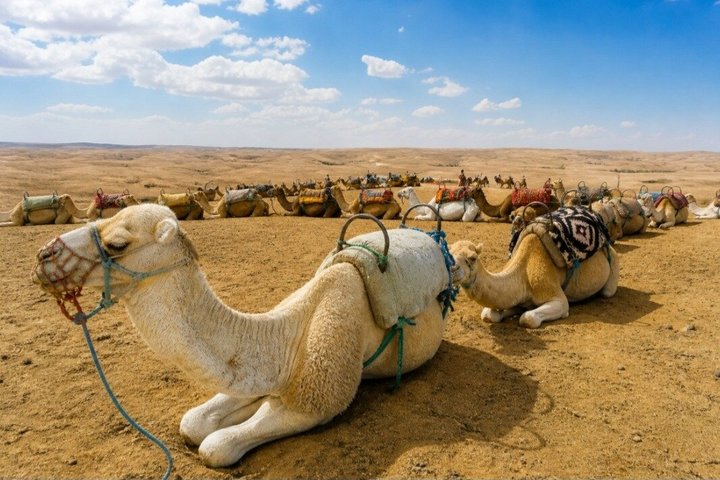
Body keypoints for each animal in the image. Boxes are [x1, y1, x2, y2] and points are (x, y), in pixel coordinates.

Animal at [32, 204, 451, 467]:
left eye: (118, 243)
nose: (43, 256)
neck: (281, 336)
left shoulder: (315, 401)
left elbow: (216, 446)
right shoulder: (258, 375)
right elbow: (194, 422)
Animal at [450, 208, 619, 328]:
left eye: (472, 258)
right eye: (448, 253)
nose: (452, 269)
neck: (523, 272)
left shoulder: (556, 297)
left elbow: (528, 318)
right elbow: (488, 314)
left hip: (612, 262)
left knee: (607, 291)